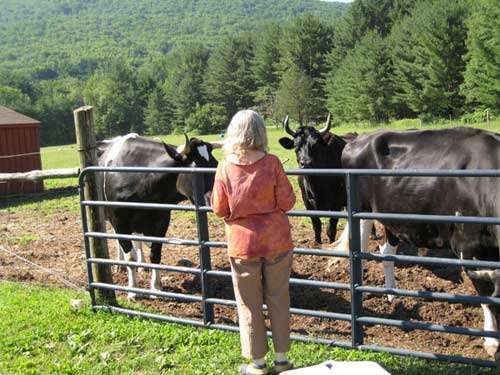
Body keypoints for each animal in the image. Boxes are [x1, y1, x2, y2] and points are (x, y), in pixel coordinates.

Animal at [98, 134, 220, 302]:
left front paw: (156, 287)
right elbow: (130, 257)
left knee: (138, 241)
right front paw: (133, 290)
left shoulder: (161, 221)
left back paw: (142, 265)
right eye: (197, 168)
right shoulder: (119, 222)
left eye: (216, 164)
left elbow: (155, 254)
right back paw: (119, 264)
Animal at [332, 127, 500, 362]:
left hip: (393, 216)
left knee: (386, 251)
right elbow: (486, 295)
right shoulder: (467, 246)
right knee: (360, 251)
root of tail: (359, 138)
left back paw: (392, 294)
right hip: (361, 212)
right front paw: (492, 342)